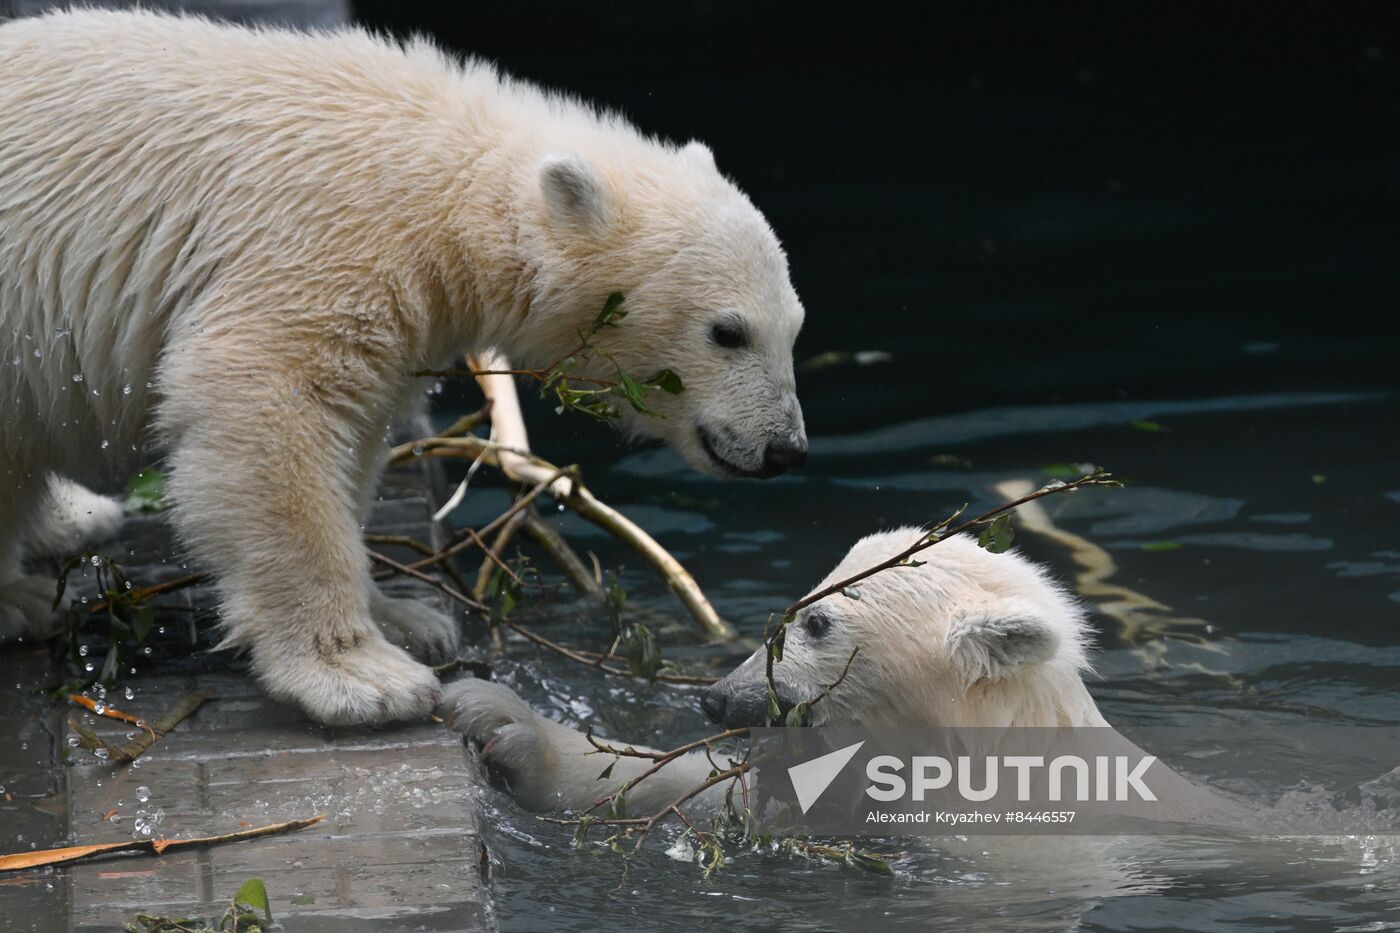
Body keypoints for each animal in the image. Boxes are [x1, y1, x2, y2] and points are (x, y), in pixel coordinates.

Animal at [0, 12, 812, 717]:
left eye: (795, 327)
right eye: (728, 332)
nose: (785, 449)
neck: (448, 174)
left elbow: (353, 440)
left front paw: (407, 619)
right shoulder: (324, 236)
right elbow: (262, 393)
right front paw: (360, 676)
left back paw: (69, 523)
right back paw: (26, 599)